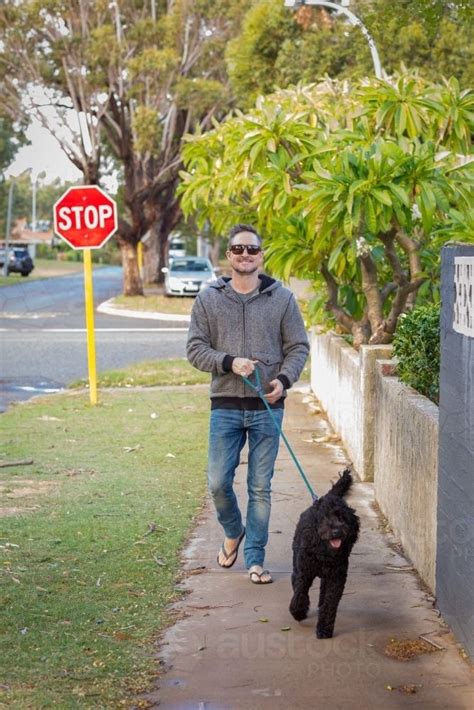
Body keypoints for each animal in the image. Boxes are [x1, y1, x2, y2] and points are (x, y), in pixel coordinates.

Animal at [288, 470, 360, 644]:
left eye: (343, 518)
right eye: (325, 517)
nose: (337, 531)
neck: (324, 552)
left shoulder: (336, 578)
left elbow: (329, 604)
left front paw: (324, 629)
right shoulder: (305, 572)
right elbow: (300, 592)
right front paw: (298, 611)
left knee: (322, 591)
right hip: (298, 562)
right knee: (295, 580)